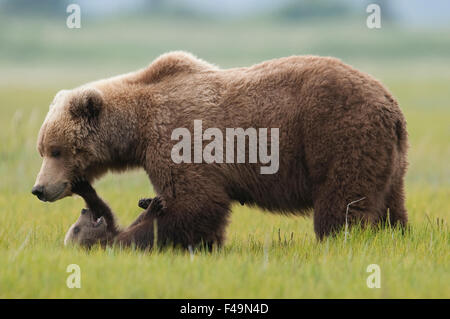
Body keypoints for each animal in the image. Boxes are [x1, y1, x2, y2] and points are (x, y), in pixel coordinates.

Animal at [29, 51, 406, 249]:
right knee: (390, 205)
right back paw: (395, 235)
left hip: (338, 135)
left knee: (342, 203)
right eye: (42, 149)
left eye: (57, 150)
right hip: (388, 157)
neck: (137, 128)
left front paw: (129, 236)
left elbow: (196, 203)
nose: (39, 189)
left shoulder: (179, 138)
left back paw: (338, 241)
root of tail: (390, 104)